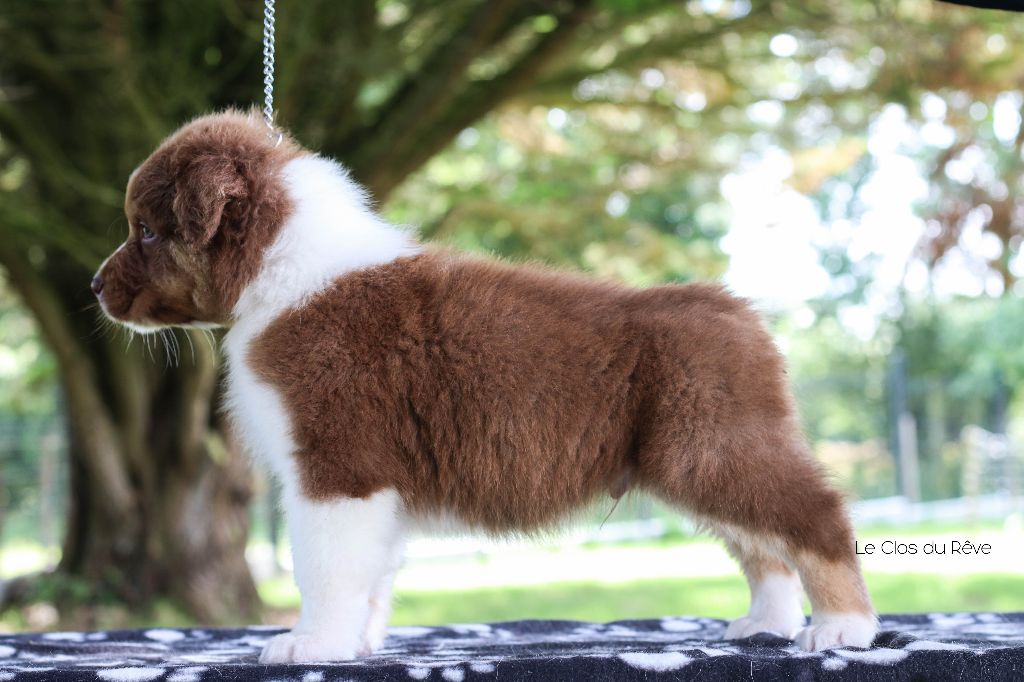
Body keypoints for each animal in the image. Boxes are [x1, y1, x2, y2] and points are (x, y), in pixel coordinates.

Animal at [93, 111, 878, 663]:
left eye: (147, 232)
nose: (94, 287)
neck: (283, 270)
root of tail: (736, 309)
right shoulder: (373, 483)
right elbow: (372, 574)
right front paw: (357, 645)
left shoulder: (337, 464)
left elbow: (326, 567)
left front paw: (310, 645)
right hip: (692, 457)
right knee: (762, 545)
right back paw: (763, 623)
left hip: (711, 446)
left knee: (814, 517)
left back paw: (843, 629)